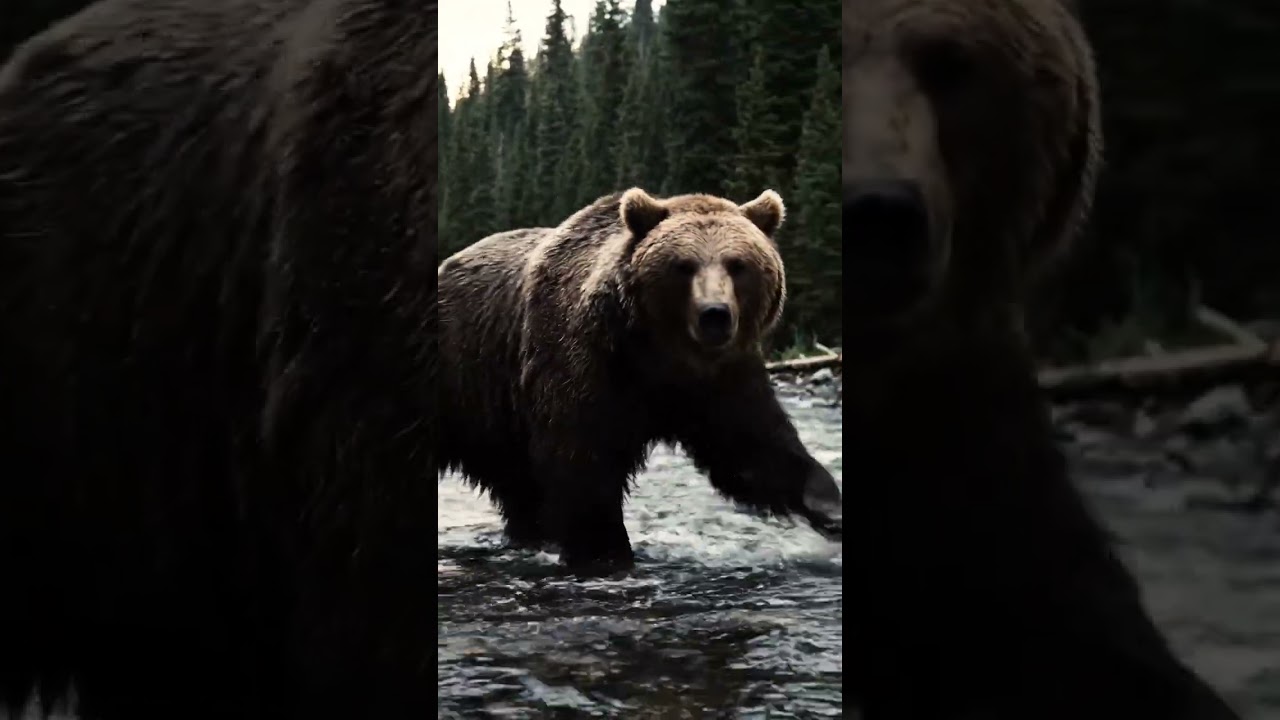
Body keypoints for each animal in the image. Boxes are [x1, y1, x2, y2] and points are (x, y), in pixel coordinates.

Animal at [437, 188, 842, 571]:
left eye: (738, 264)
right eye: (684, 265)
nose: (715, 314)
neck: (661, 356)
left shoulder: (722, 379)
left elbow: (751, 448)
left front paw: (828, 505)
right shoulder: (585, 364)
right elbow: (583, 462)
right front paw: (604, 552)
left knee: (519, 489)